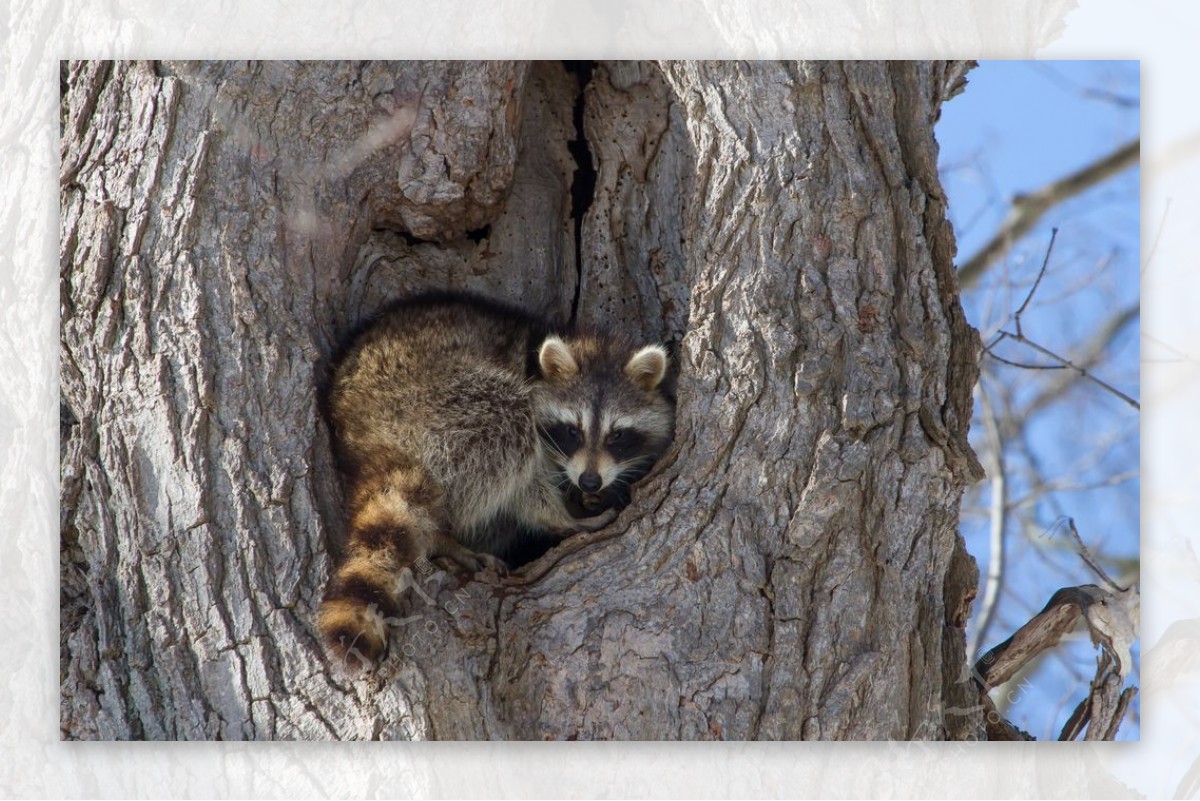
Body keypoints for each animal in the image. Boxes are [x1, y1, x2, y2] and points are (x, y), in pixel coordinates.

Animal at [316, 291, 676, 666]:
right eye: (572, 432)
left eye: (617, 435)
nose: (590, 482)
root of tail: (358, 424)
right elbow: (527, 486)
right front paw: (563, 516)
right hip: (435, 402)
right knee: (506, 417)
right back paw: (448, 535)